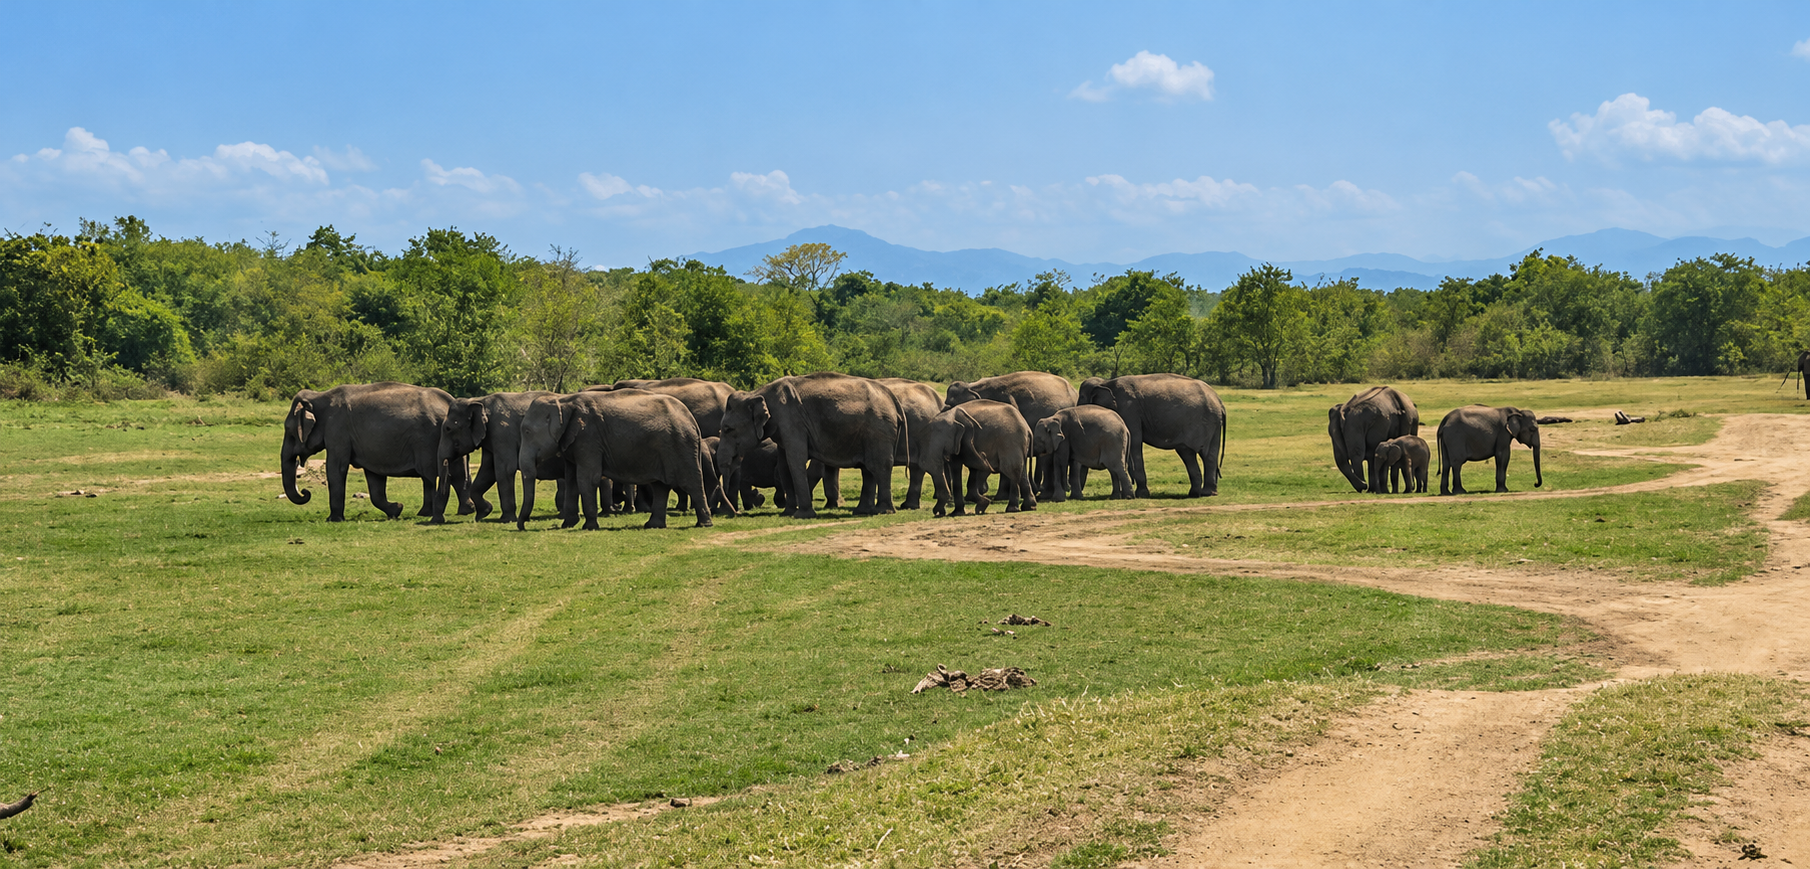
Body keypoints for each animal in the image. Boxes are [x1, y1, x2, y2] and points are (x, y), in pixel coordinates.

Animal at [282, 381, 472, 523]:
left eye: (289, 431)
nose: (306, 492)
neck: (319, 396)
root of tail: (449, 401)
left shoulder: (337, 430)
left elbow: (336, 468)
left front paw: (333, 520)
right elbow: (374, 478)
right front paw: (397, 509)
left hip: (428, 441)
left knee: (432, 474)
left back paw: (433, 513)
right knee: (456, 472)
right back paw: (462, 510)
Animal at [435, 391, 572, 524]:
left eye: (448, 428)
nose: (438, 520)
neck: (479, 401)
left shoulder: (502, 433)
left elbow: (504, 470)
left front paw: (507, 519)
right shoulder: (491, 437)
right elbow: (487, 471)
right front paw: (484, 513)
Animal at [516, 389, 713, 529]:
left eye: (527, 432)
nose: (521, 527)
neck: (563, 401)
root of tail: (692, 420)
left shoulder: (589, 438)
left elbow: (586, 478)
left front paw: (589, 527)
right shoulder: (574, 441)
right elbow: (572, 479)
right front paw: (567, 525)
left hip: (681, 445)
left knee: (691, 482)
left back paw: (704, 524)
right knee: (660, 487)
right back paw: (652, 526)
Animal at [715, 372, 908, 519]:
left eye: (728, 429)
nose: (735, 513)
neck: (756, 394)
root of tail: (893, 399)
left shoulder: (792, 421)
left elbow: (795, 460)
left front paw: (802, 515)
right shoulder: (784, 427)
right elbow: (784, 465)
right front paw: (787, 513)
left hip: (879, 429)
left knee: (879, 466)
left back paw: (883, 511)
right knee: (868, 468)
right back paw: (862, 512)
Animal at [1078, 373, 1226, 498]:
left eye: (1082, 399)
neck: (1105, 382)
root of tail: (1219, 401)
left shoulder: (1129, 410)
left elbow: (1135, 443)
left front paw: (1141, 494)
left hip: (1208, 421)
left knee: (1207, 455)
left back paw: (1207, 493)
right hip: (1210, 424)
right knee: (1188, 454)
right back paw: (1194, 493)